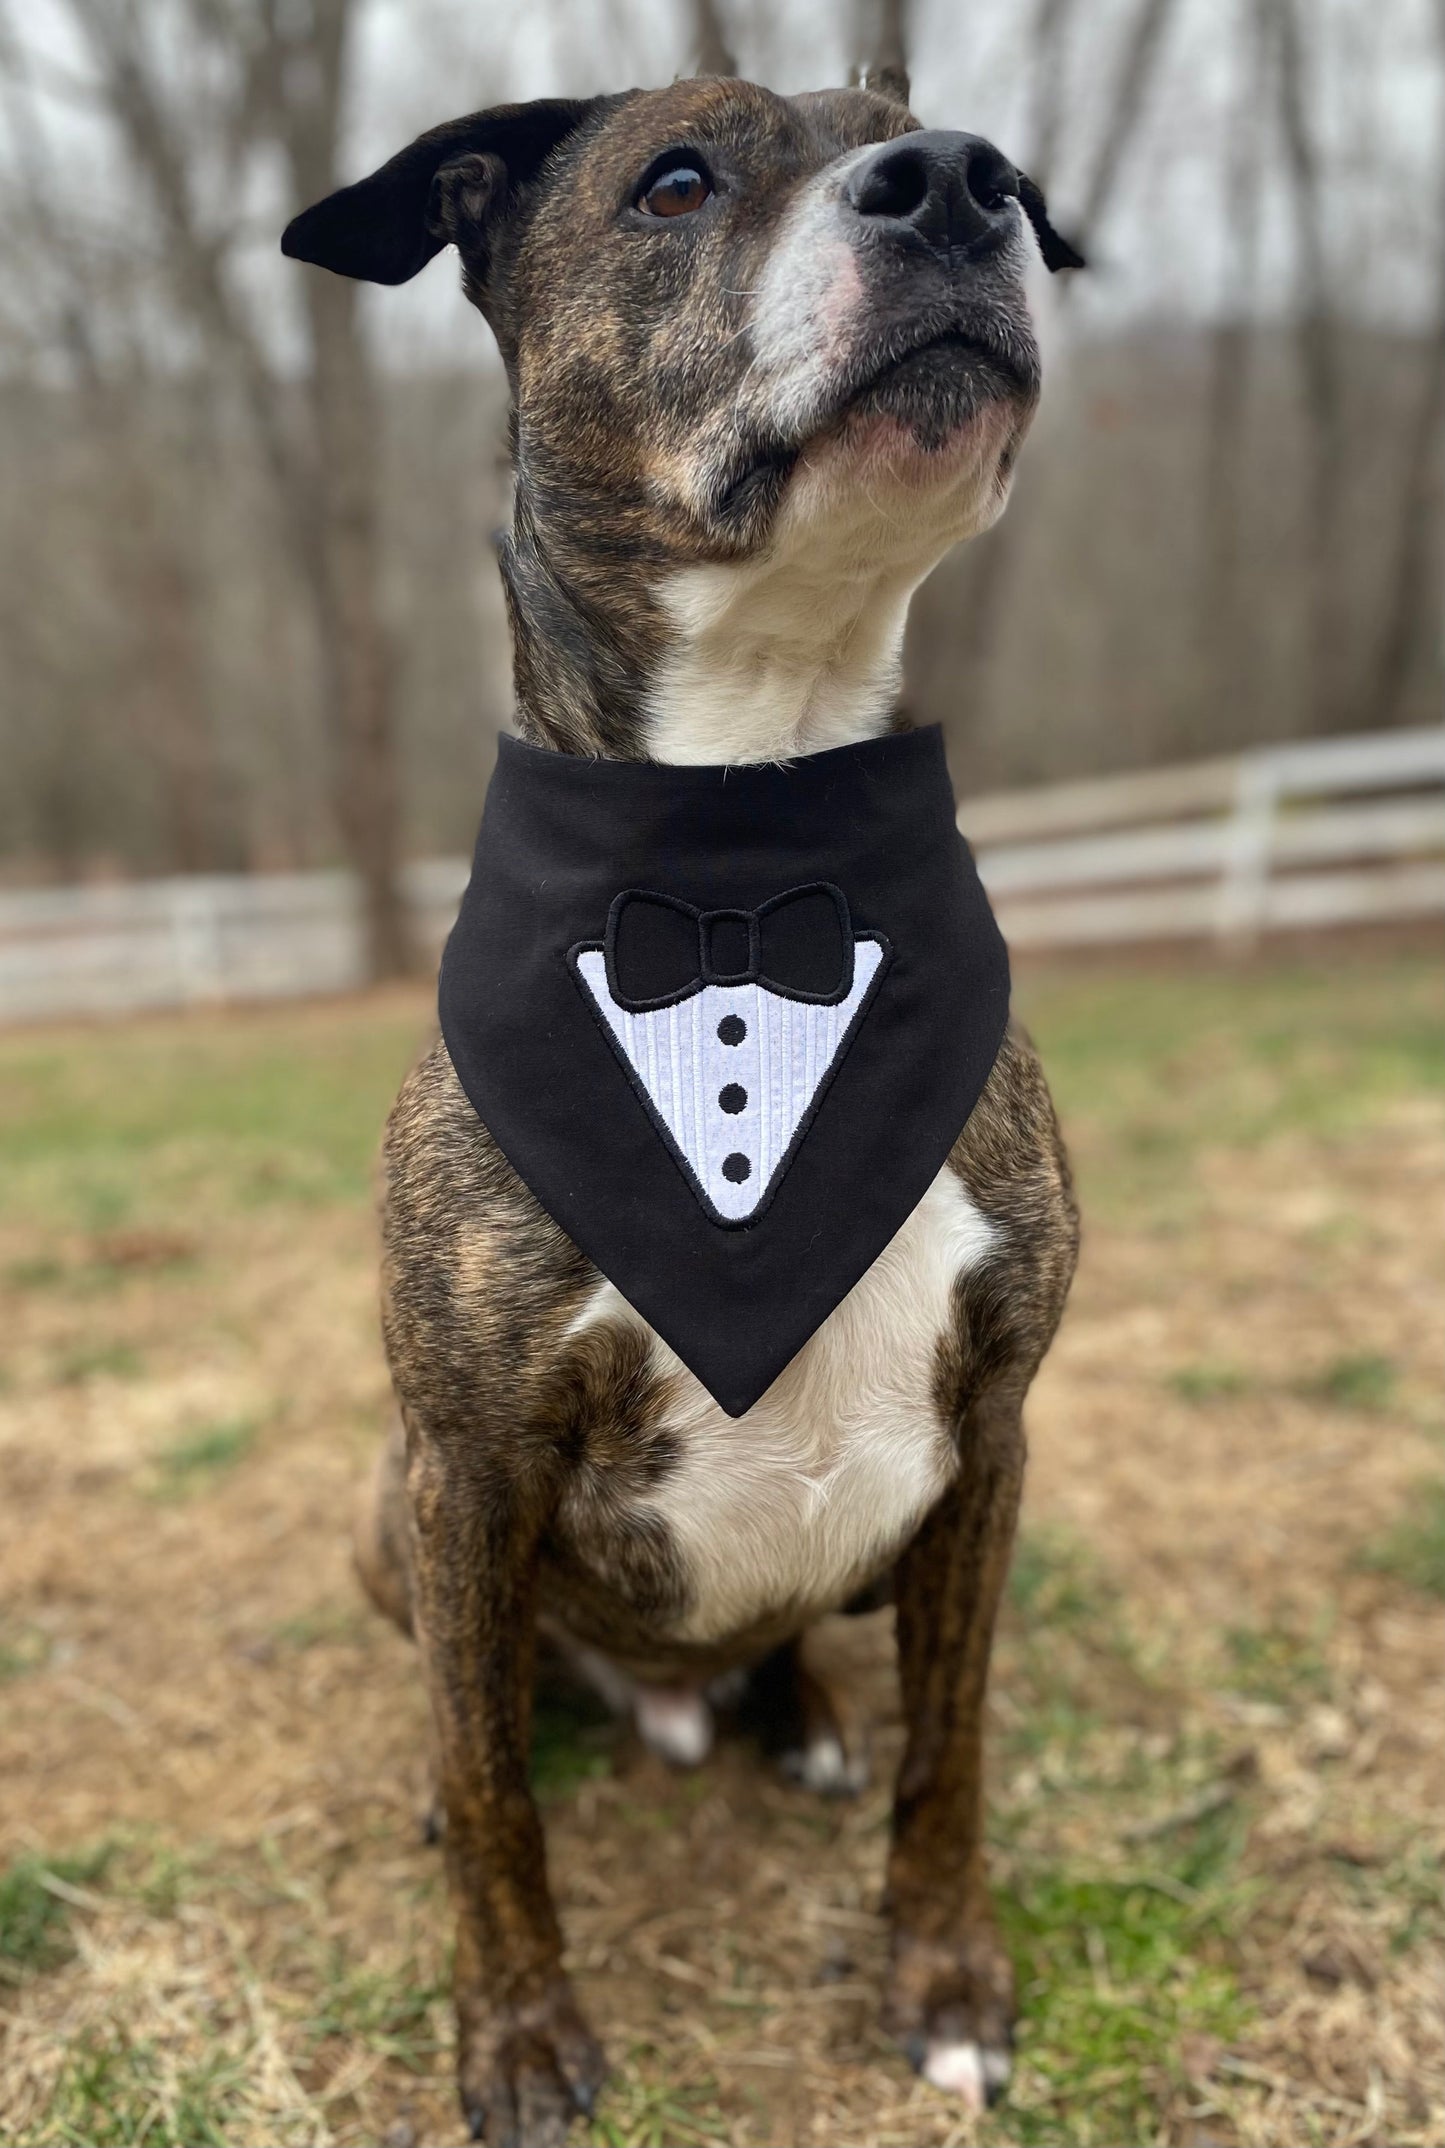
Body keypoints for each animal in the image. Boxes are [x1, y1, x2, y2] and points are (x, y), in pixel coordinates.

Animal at [285, 67, 1069, 2148]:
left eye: (971, 151)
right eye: (677, 181)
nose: (959, 190)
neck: (747, 842)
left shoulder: (992, 1441)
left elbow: (951, 1748)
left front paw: (943, 1980)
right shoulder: (464, 1465)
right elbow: (492, 1789)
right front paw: (518, 2039)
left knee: (795, 1637)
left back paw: (796, 1714)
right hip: (386, 1518)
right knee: (479, 1709)